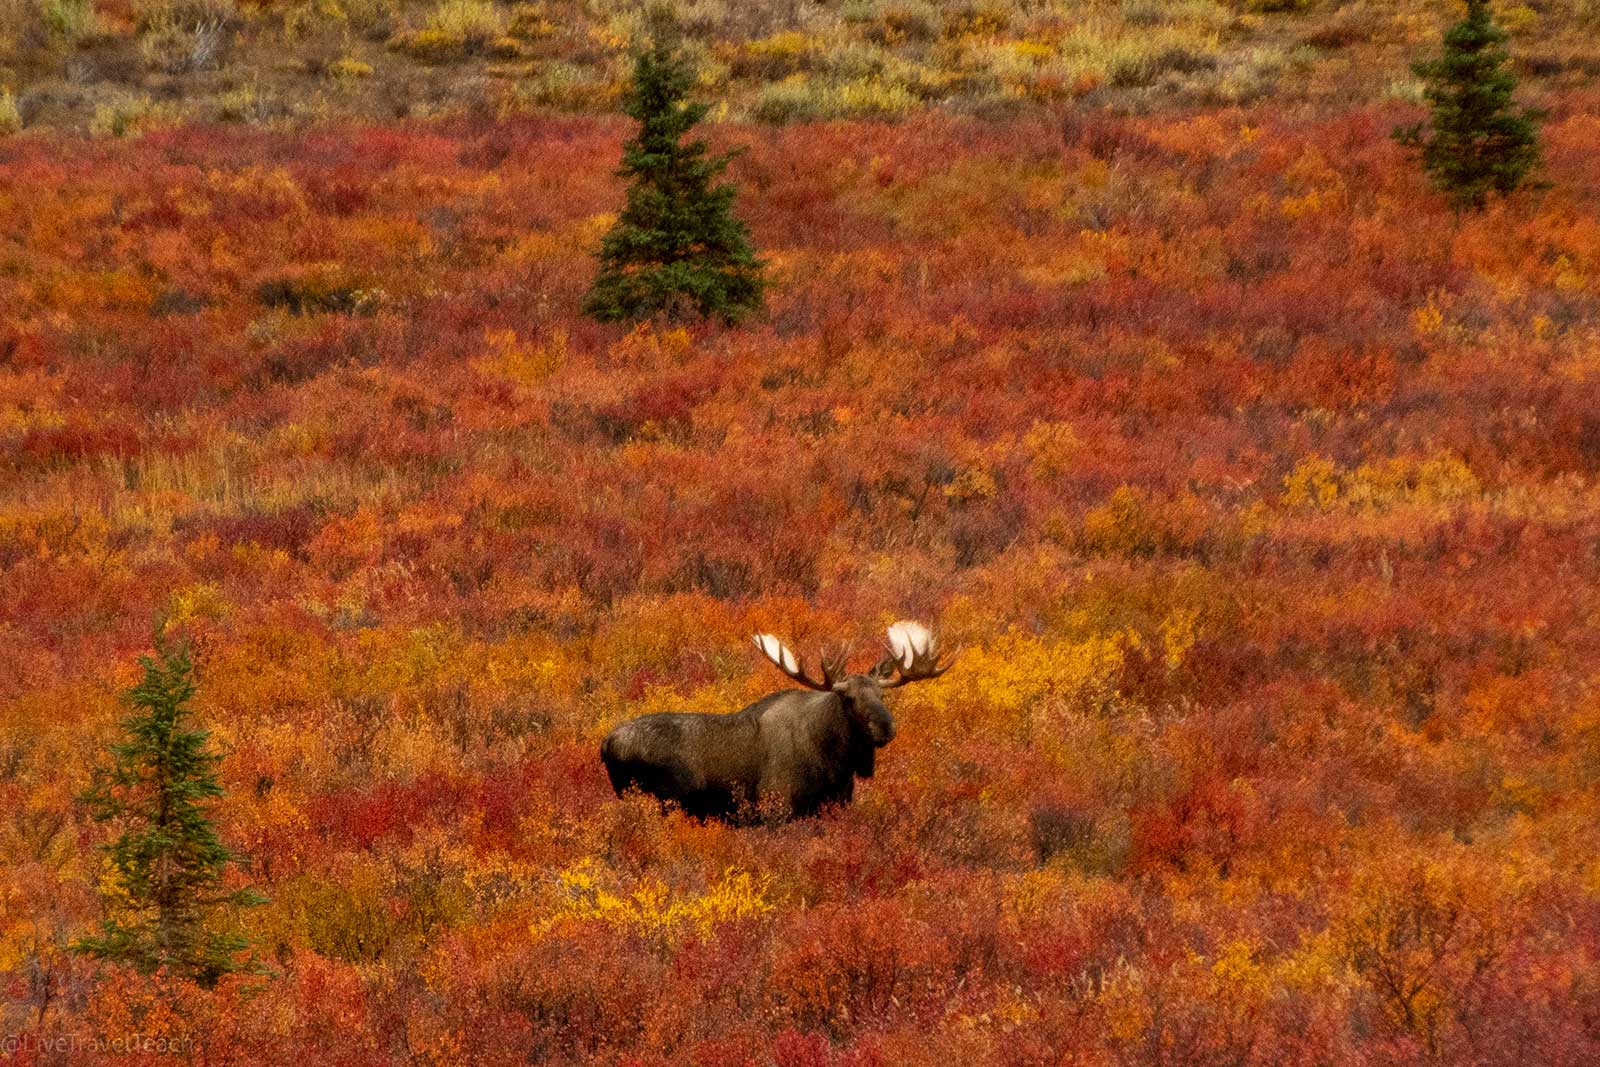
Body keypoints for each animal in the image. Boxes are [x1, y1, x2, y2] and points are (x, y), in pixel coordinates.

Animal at [600, 620, 957, 822]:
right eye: (848, 698)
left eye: (882, 695)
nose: (885, 727)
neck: (835, 764)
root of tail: (606, 745)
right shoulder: (778, 808)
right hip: (658, 799)